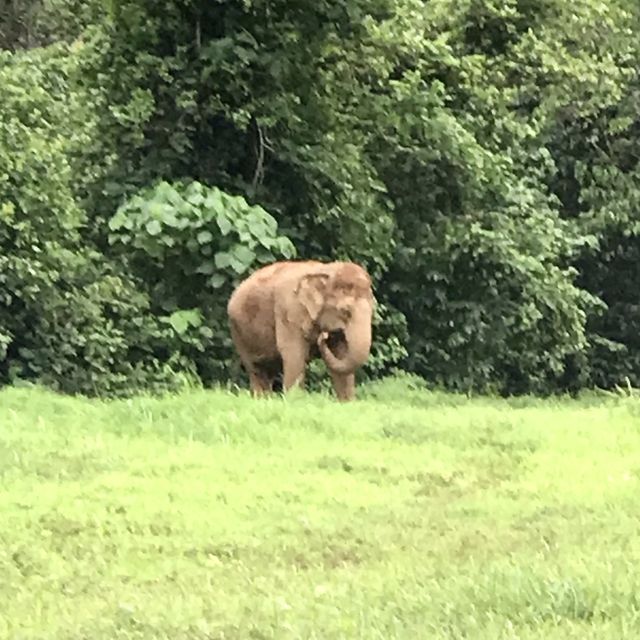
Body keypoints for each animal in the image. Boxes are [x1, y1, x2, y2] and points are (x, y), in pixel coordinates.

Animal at [226, 260, 372, 400]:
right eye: (345, 311)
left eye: (373, 310)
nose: (323, 336)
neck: (324, 270)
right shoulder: (288, 311)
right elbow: (293, 354)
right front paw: (294, 400)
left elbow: (340, 354)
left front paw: (346, 403)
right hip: (239, 333)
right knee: (256, 369)